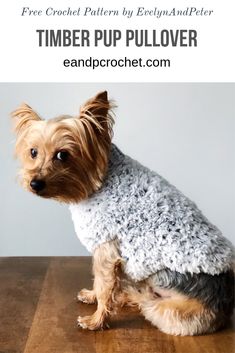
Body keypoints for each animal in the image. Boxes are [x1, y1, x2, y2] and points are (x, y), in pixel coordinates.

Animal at [11, 90, 234, 332]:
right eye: (33, 152)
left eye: (62, 155)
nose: (34, 183)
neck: (95, 184)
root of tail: (224, 306)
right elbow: (100, 283)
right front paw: (92, 297)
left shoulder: (107, 248)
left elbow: (104, 286)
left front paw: (96, 321)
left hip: (162, 309)